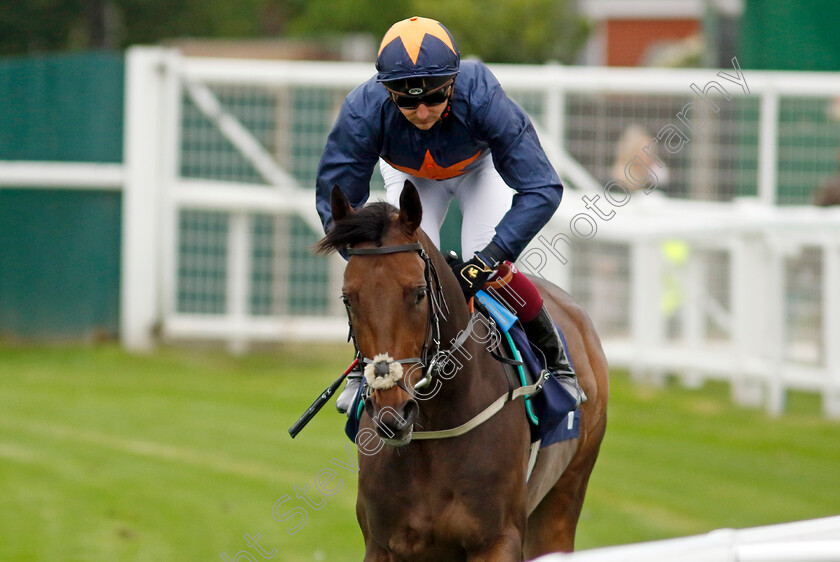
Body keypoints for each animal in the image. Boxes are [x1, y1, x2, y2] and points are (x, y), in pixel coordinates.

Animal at [318, 182, 608, 556]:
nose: (392, 412)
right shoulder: (382, 545)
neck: (434, 430)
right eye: (347, 298)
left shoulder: (498, 540)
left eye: (419, 293)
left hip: (564, 498)